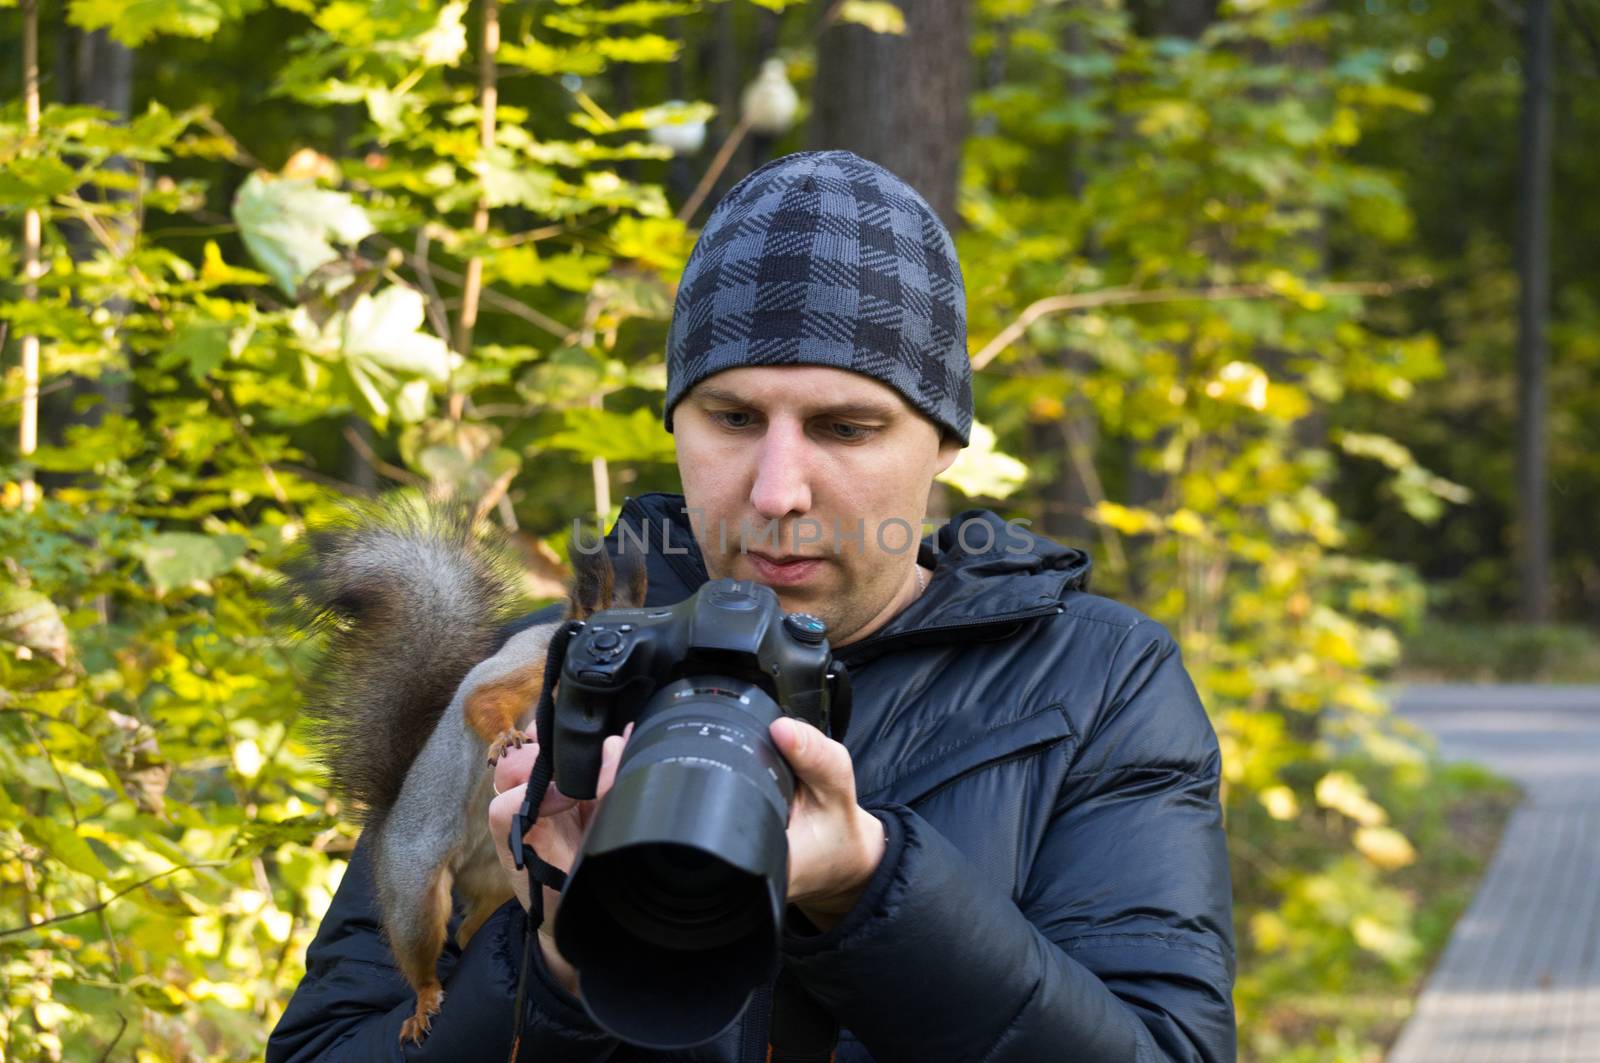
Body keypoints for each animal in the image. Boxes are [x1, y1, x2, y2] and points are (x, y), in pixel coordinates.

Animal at [281, 502, 643, 1043]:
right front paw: (507, 740)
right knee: (422, 947)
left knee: (474, 928)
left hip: (499, 880)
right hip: (415, 889)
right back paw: (425, 1000)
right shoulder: (529, 667)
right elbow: (484, 702)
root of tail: (387, 824)